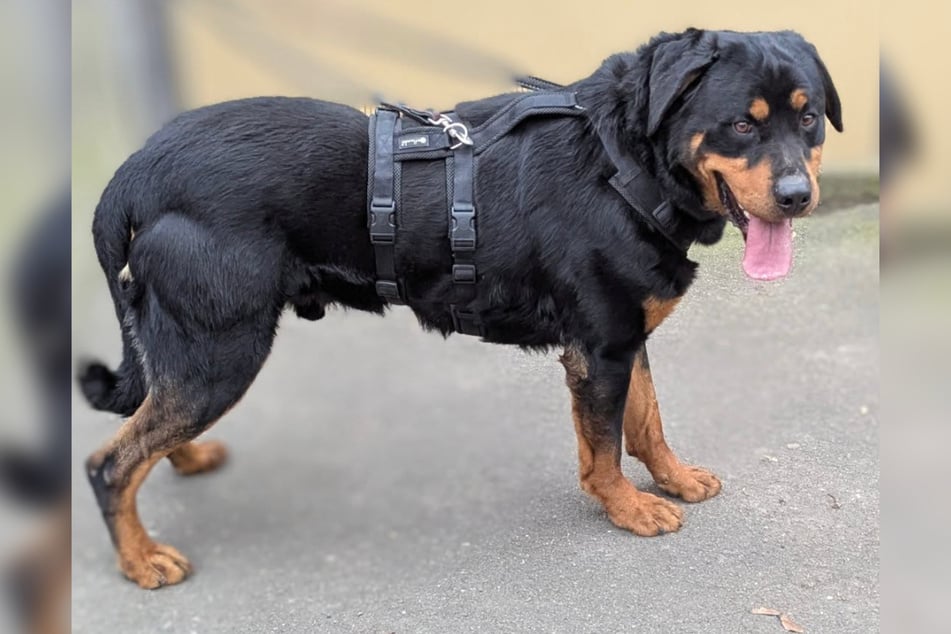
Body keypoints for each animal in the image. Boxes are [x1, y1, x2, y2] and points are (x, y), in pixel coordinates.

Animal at [80, 27, 840, 584]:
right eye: (741, 125)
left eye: (809, 119)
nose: (798, 196)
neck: (621, 161)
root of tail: (135, 171)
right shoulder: (598, 351)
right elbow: (604, 448)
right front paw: (626, 508)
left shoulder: (625, 338)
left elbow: (647, 422)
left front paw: (673, 480)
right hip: (222, 350)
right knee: (111, 464)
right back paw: (140, 559)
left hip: (195, 352)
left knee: (151, 424)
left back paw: (185, 459)